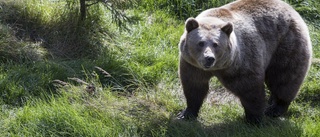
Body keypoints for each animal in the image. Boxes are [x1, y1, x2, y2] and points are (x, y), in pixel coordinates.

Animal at [176, 0, 312, 124]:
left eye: (216, 44)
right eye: (201, 43)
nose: (209, 58)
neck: (218, 68)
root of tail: (290, 8)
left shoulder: (240, 63)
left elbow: (250, 90)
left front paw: (254, 119)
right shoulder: (192, 64)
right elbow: (194, 86)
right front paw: (186, 113)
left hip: (286, 44)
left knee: (284, 77)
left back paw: (275, 109)